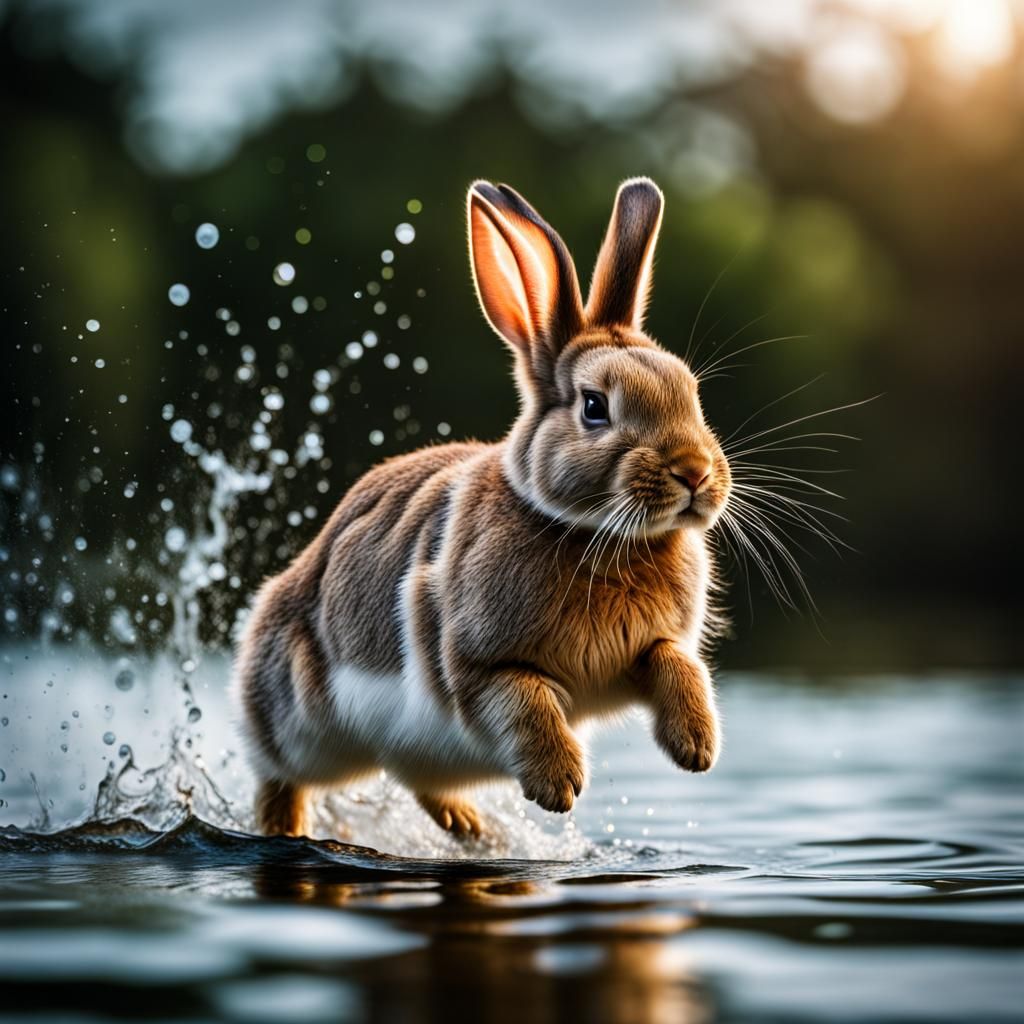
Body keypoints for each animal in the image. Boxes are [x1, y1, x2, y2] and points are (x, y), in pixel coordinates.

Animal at [232, 177, 731, 840]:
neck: (586, 530)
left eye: (691, 393)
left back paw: (466, 824)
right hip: (300, 725)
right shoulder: (479, 664)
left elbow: (676, 662)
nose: (695, 472)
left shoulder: (648, 649)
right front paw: (559, 785)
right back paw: (284, 829)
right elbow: (524, 700)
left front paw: (697, 748)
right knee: (277, 774)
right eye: (594, 407)